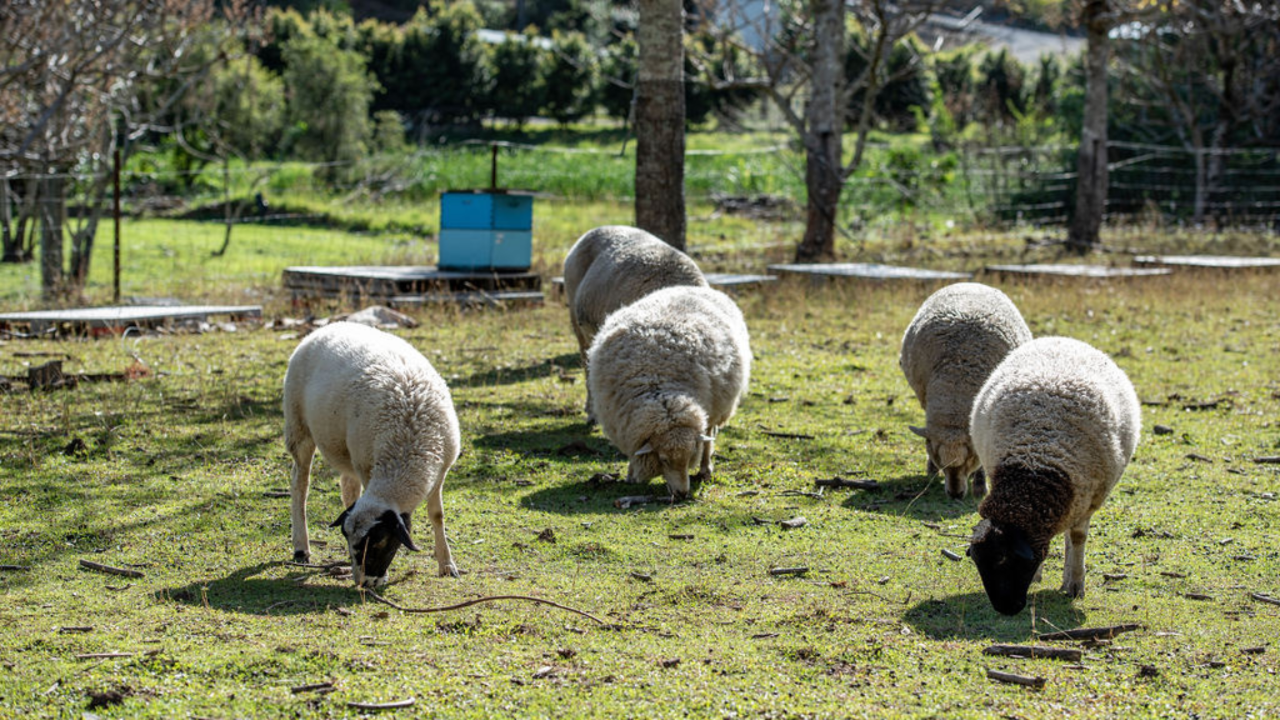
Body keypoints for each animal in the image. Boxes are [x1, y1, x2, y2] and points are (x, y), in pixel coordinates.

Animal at [284, 322, 460, 586]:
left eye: (379, 542)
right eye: (349, 542)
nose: (364, 583)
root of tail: (328, 327)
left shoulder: (440, 471)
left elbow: (437, 515)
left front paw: (447, 564)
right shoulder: (368, 466)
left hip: (348, 450)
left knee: (347, 488)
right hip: (299, 427)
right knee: (300, 484)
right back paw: (301, 548)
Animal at [586, 283, 752, 497]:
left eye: (689, 458)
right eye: (663, 459)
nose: (682, 494)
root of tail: (693, 287)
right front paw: (631, 475)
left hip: (719, 405)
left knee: (708, 437)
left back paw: (705, 468)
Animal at [896, 281, 1034, 499]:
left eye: (971, 457)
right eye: (939, 457)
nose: (955, 494)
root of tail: (970, 282)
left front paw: (979, 486)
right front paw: (932, 468)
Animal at [967, 335, 1141, 609]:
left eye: (1012, 562)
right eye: (979, 563)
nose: (1006, 609)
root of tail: (1062, 338)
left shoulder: (1088, 498)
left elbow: (1078, 538)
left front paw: (1075, 584)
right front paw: (1042, 575)